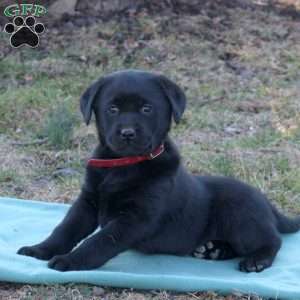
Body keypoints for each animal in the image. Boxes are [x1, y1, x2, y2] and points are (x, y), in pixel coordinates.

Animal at [18, 69, 300, 272]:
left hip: (241, 217)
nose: (127, 133)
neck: (123, 166)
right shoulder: (87, 203)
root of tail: (267, 203)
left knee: (272, 240)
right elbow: (65, 228)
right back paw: (213, 250)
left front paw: (70, 261)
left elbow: (99, 241)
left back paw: (257, 260)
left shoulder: (135, 218)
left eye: (146, 108)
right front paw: (39, 249)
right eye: (112, 109)